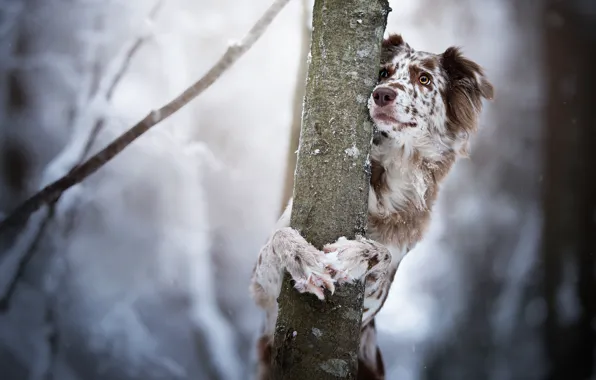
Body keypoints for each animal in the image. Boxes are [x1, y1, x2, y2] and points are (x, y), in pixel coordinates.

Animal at [249, 34, 496, 378]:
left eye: (424, 79)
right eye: (383, 73)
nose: (382, 94)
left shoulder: (372, 306)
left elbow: (384, 255)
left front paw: (354, 254)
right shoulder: (265, 302)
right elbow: (278, 239)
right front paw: (304, 260)